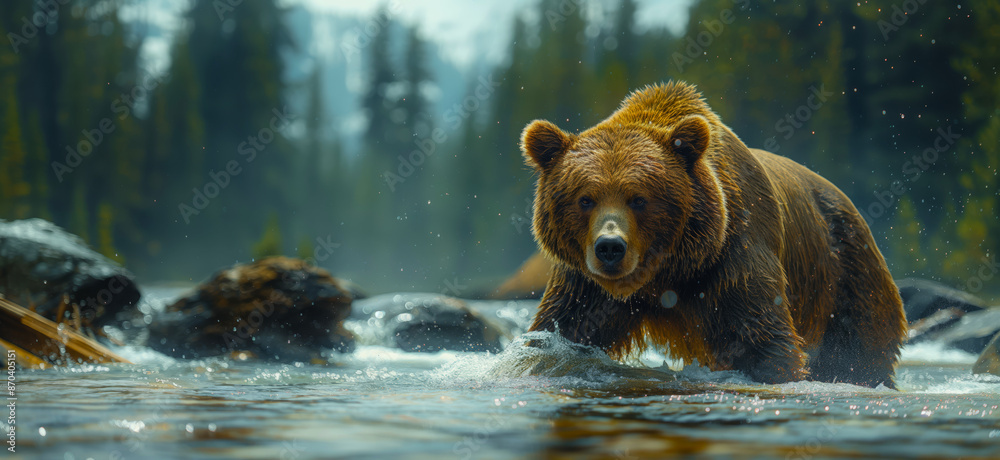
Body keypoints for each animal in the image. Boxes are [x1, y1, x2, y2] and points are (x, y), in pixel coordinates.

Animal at [520, 81, 907, 388]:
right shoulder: (584, 288)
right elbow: (559, 334)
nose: (610, 248)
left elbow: (762, 341)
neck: (665, 278)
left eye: (639, 199)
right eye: (585, 198)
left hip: (846, 275)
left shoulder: (734, 257)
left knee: (860, 347)